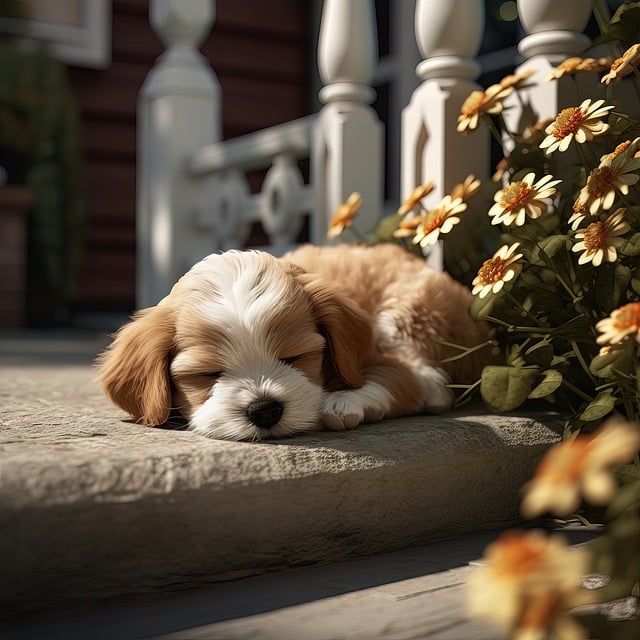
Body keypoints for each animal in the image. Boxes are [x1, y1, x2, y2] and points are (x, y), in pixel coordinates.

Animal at [97, 242, 490, 442]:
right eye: (208, 374)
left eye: (294, 356)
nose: (264, 409)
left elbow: (396, 378)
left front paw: (346, 401)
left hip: (410, 311)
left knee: (433, 384)